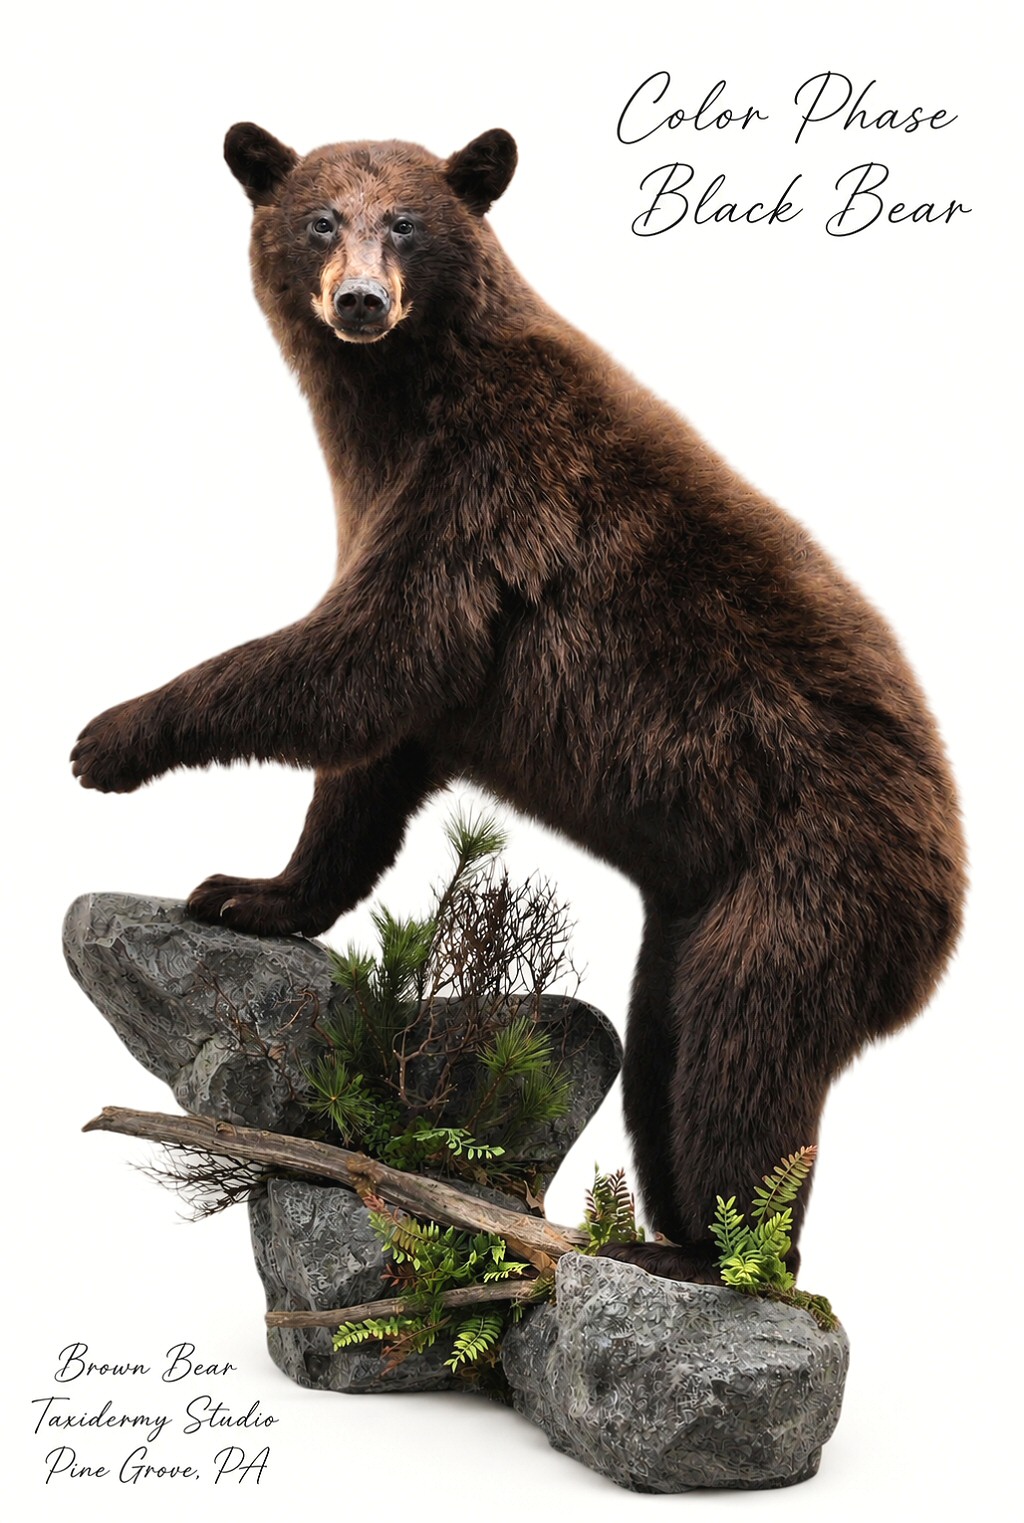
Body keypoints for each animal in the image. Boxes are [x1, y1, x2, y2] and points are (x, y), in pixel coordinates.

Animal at [71, 124, 966, 1282]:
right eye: (320, 219)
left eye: (407, 223)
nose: (360, 299)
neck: (396, 402)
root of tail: (955, 878)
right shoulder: (411, 522)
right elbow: (370, 764)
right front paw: (251, 891)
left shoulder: (488, 487)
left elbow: (371, 660)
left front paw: (111, 738)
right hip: (694, 914)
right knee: (664, 1050)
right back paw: (667, 1226)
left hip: (816, 882)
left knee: (745, 1055)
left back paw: (718, 1254)